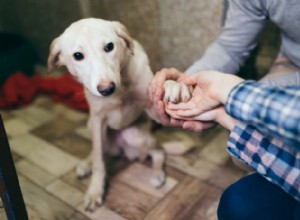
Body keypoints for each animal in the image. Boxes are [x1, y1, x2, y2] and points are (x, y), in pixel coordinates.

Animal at [48, 17, 191, 211]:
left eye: (109, 46)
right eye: (77, 56)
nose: (107, 89)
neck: (121, 88)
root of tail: (123, 150)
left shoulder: (154, 110)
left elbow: (162, 85)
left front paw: (173, 85)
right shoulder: (97, 120)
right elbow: (98, 160)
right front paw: (95, 191)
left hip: (135, 136)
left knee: (159, 151)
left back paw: (157, 173)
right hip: (93, 126)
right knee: (99, 151)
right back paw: (86, 164)